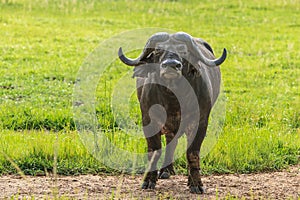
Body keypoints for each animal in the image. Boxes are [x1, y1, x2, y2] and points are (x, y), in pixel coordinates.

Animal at [118, 31, 226, 194]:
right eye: (158, 51)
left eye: (184, 51)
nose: (171, 65)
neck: (173, 100)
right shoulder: (148, 121)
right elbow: (154, 151)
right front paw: (148, 181)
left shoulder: (200, 122)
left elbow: (192, 153)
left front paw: (196, 184)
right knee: (170, 142)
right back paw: (166, 171)